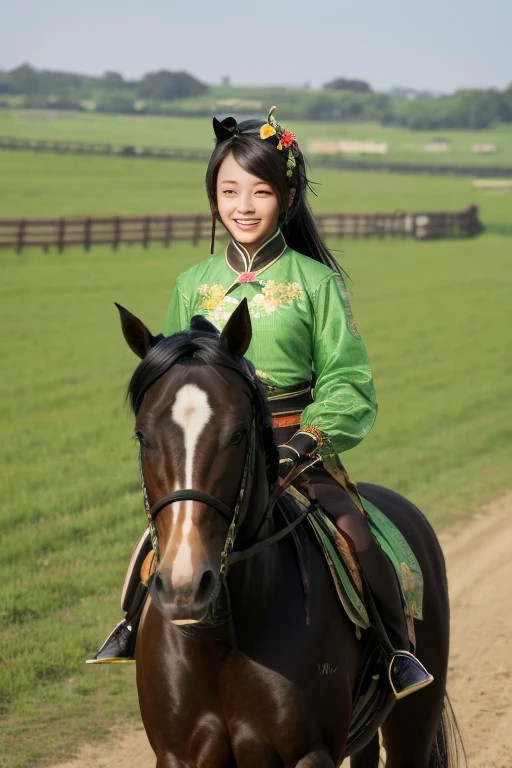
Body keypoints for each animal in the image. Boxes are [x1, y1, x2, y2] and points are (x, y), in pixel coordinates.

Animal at [115, 300, 464, 768]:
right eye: (142, 435)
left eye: (237, 433)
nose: (183, 585)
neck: (221, 639)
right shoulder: (177, 755)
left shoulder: (307, 753)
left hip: (414, 720)